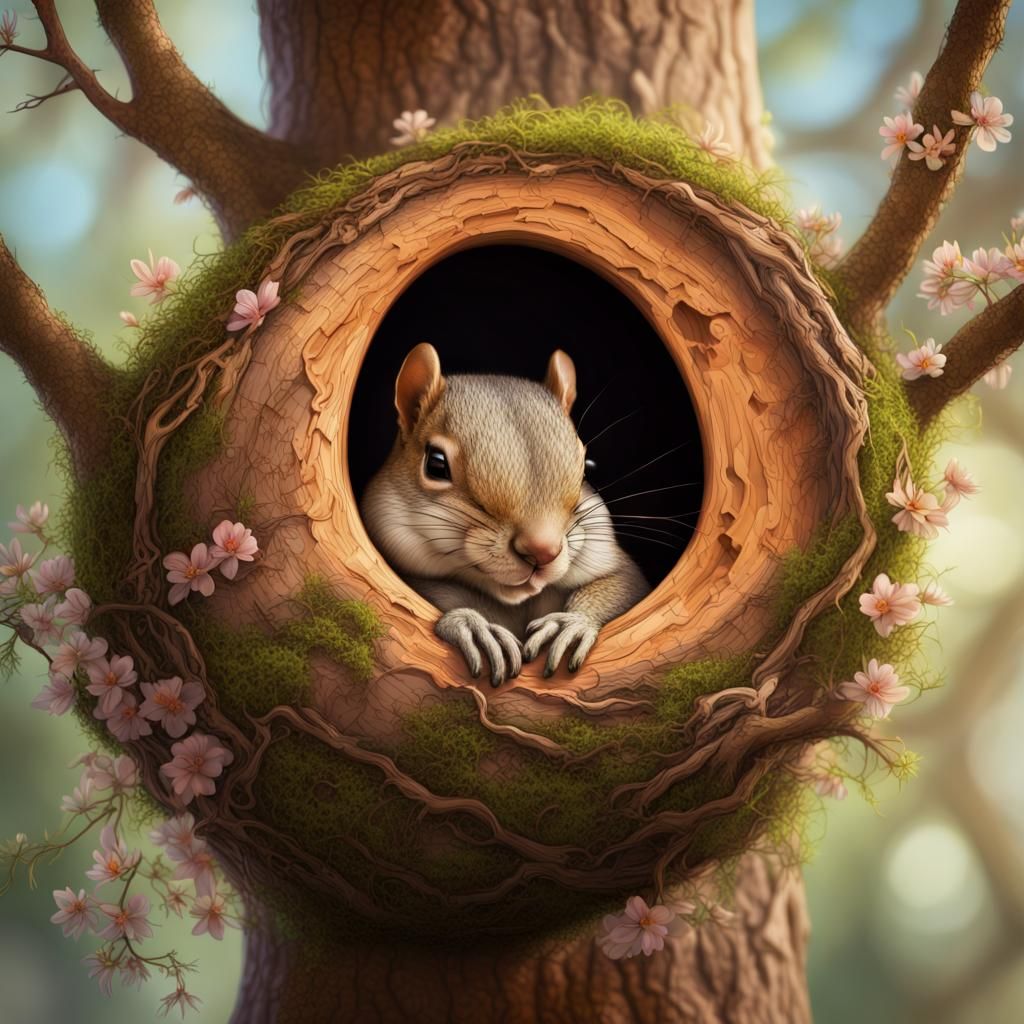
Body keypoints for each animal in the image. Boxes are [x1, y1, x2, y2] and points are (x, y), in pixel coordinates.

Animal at [361, 343, 649, 686]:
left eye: (586, 468)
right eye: (436, 464)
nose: (543, 551)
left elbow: (624, 583)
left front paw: (571, 623)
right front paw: (476, 627)